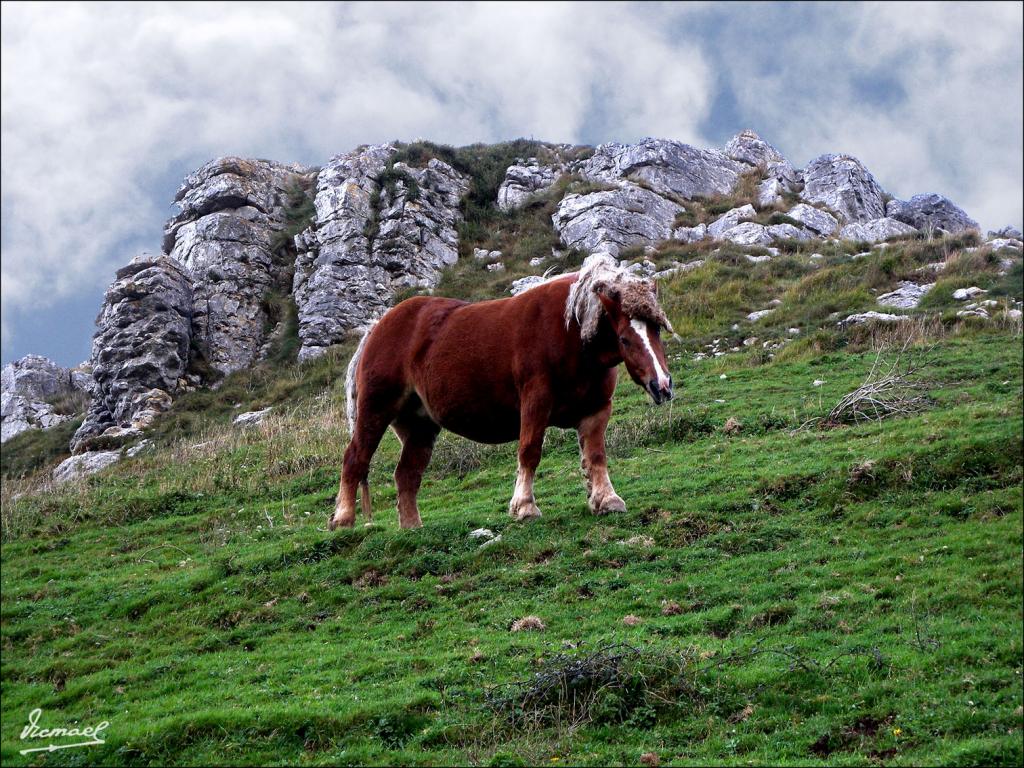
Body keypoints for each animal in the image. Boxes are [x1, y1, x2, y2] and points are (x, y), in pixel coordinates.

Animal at [331, 256, 675, 532]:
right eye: (625, 338)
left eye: (656, 329)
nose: (662, 385)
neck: (570, 334)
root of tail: (377, 328)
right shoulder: (535, 402)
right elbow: (530, 452)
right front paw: (525, 507)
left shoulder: (596, 410)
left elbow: (596, 455)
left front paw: (607, 500)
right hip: (375, 410)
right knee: (355, 459)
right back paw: (343, 520)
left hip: (420, 426)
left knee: (406, 475)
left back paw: (412, 528)